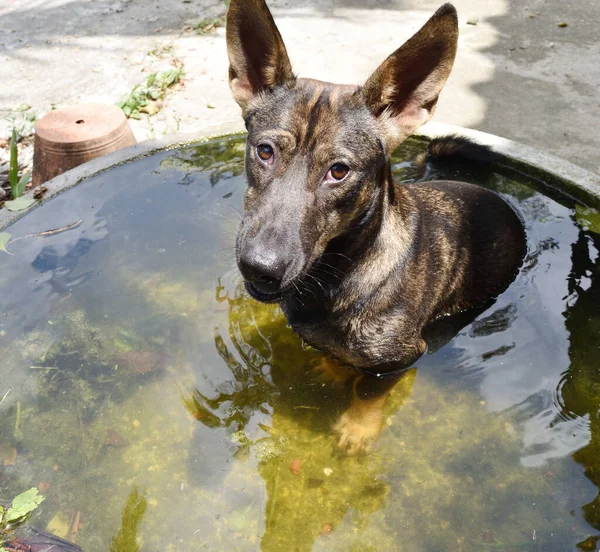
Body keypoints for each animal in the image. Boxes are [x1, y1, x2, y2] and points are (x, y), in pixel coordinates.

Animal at [224, 0, 524, 454]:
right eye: (264, 151)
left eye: (338, 171)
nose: (260, 268)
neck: (336, 276)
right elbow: (335, 356)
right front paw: (334, 369)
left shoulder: (403, 356)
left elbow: (369, 391)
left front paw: (358, 427)